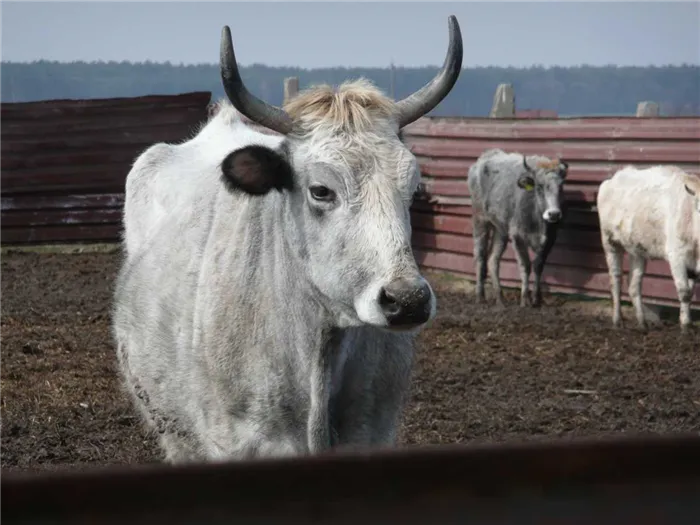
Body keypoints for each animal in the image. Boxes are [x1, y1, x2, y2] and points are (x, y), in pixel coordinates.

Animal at [464, 147, 568, 308]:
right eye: (539, 187)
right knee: (480, 256)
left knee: (493, 260)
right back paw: (480, 297)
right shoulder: (517, 236)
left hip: (500, 229)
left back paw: (500, 299)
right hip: (480, 220)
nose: (554, 214)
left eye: (561, 186)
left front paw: (536, 299)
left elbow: (538, 265)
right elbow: (525, 265)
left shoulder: (550, 239)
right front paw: (524, 300)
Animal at [596, 164, 700, 330]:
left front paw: (686, 322)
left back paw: (642, 322)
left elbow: (690, 291)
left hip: (637, 249)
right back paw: (617, 320)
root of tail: (614, 178)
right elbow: (684, 292)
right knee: (615, 279)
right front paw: (685, 326)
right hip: (610, 242)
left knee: (633, 284)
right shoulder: (676, 256)